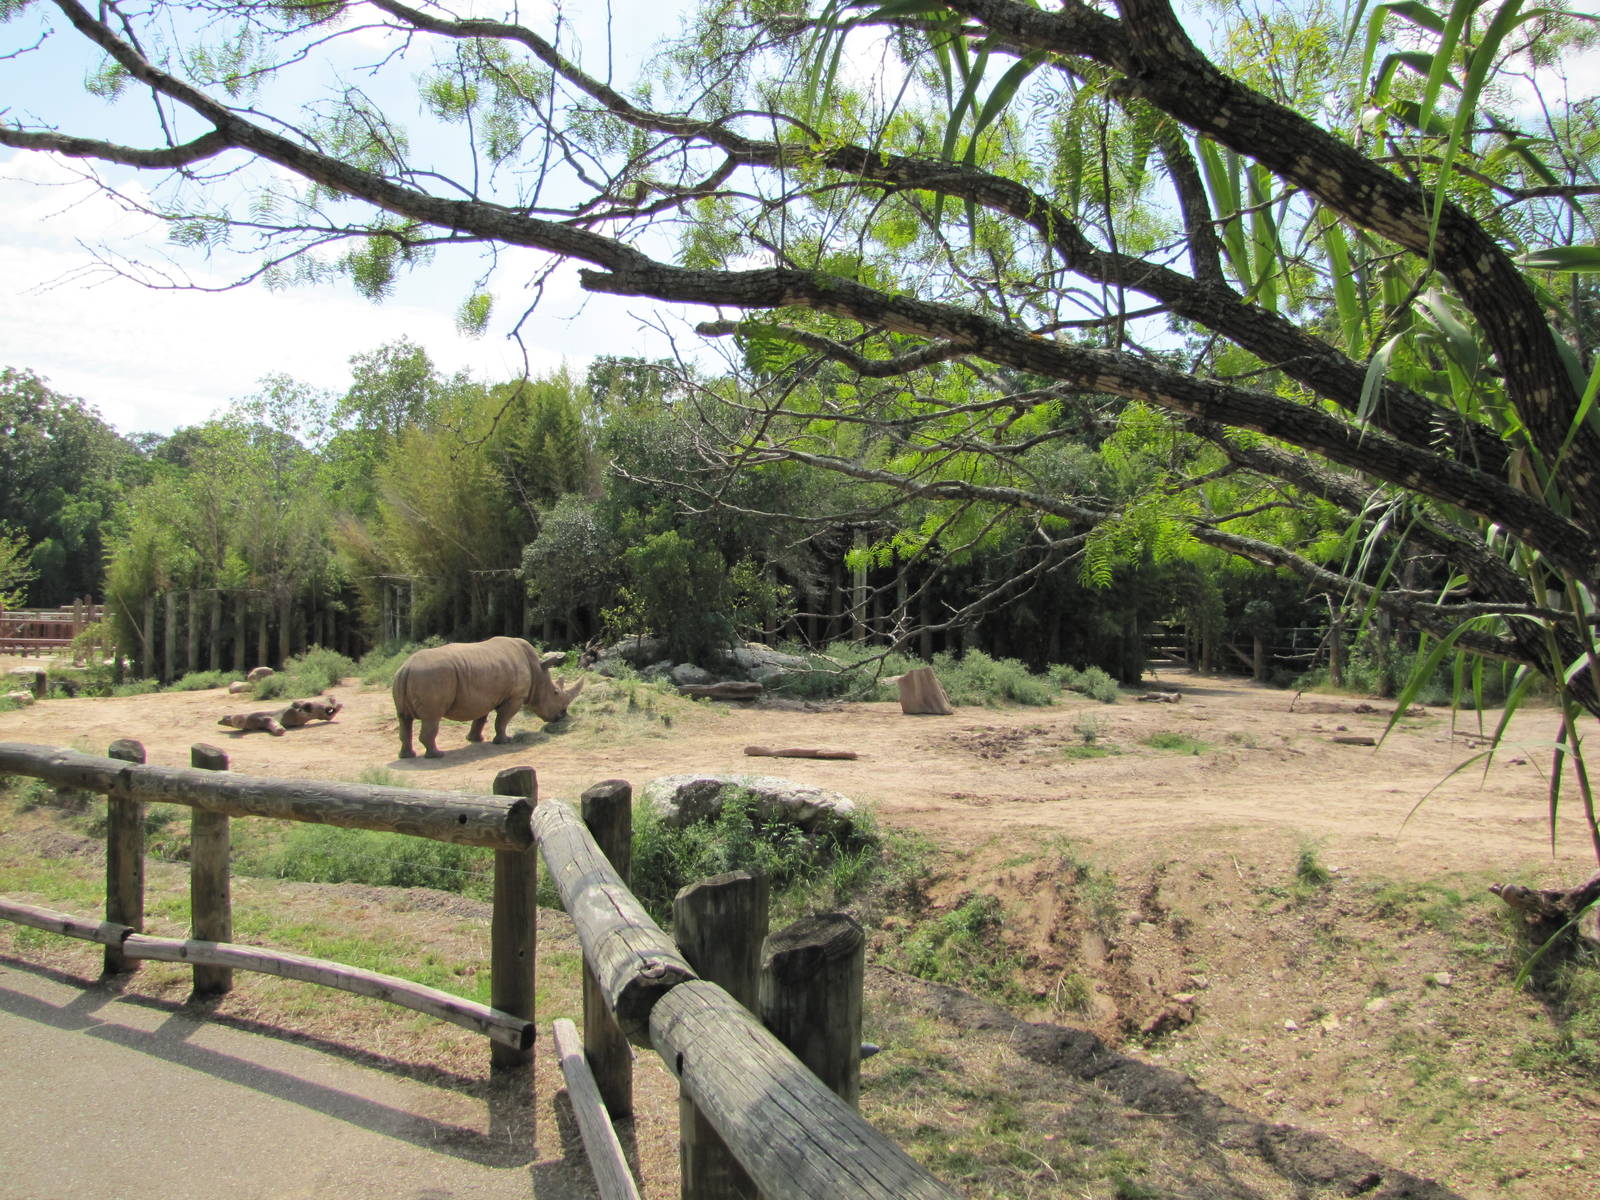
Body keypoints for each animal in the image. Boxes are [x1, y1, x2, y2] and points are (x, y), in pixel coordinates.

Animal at [392, 636, 583, 759]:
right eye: (555, 693)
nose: (562, 715)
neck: (538, 671)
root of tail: (407, 668)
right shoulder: (515, 697)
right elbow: (502, 720)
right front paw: (504, 741)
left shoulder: (483, 696)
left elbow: (480, 719)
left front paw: (475, 740)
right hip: (431, 676)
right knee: (432, 718)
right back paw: (437, 755)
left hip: (404, 677)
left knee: (404, 717)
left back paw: (407, 756)